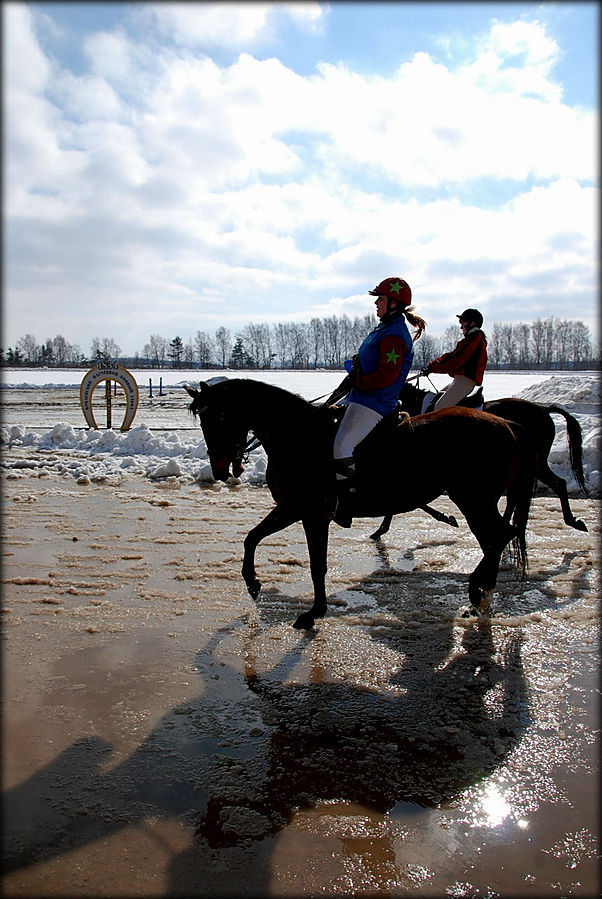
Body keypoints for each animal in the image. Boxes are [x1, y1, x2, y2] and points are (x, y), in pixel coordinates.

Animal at [185, 380, 532, 632]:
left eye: (219, 416)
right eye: (202, 419)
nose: (219, 469)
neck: (298, 437)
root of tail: (508, 423)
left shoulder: (311, 514)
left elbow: (317, 565)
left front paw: (314, 612)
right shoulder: (290, 508)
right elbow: (252, 538)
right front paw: (253, 583)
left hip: (474, 500)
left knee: (497, 538)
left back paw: (477, 592)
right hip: (476, 501)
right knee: (496, 539)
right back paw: (481, 594)